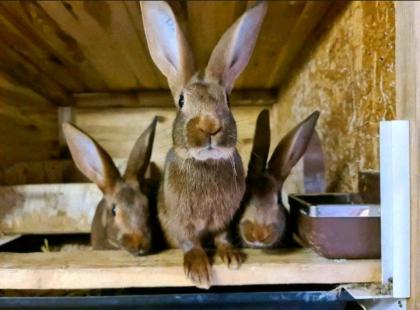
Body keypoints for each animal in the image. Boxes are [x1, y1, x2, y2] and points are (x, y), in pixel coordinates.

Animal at [140, 1, 266, 290]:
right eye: (181, 101)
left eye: (227, 100)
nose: (210, 126)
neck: (204, 162)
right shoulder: (179, 220)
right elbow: (190, 241)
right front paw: (198, 271)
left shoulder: (223, 219)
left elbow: (221, 237)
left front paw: (232, 257)